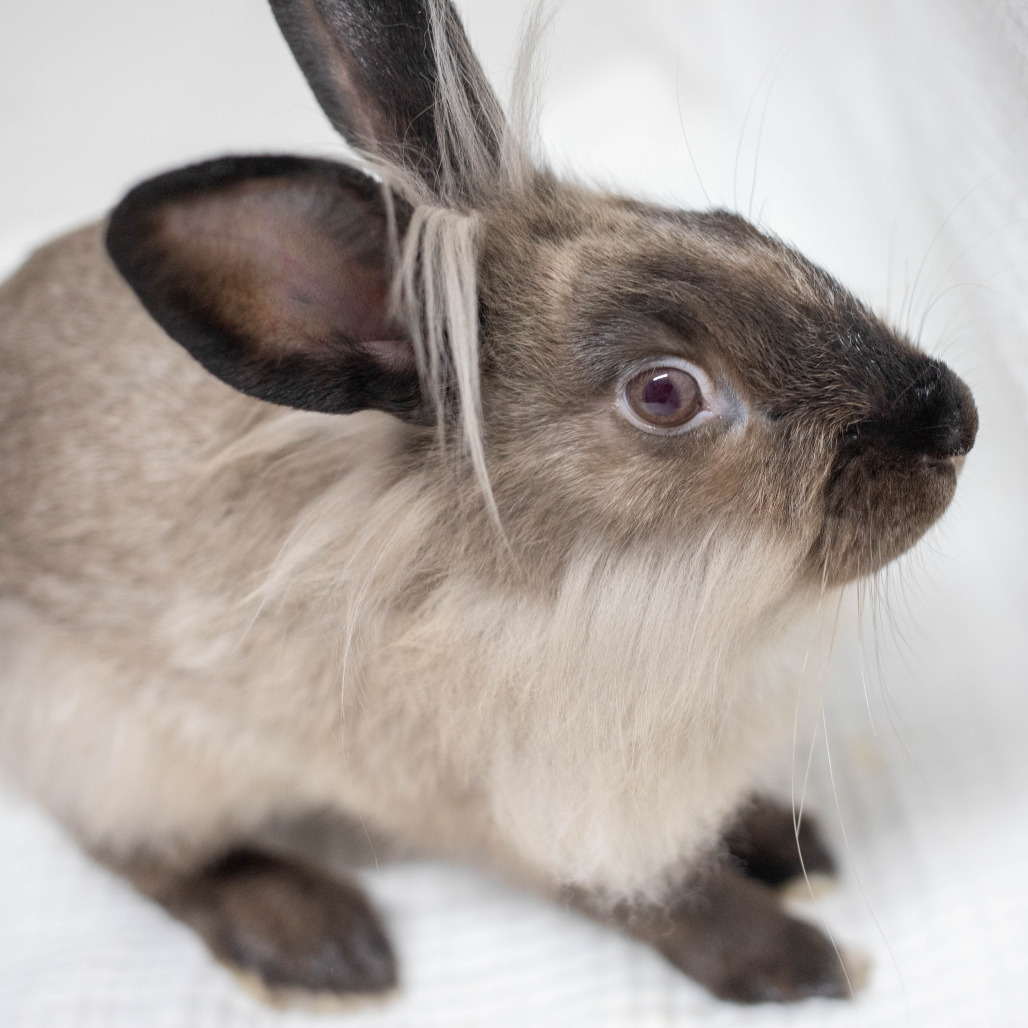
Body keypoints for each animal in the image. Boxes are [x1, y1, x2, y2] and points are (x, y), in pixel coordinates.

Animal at [0, 0, 978, 1007]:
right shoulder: (514, 814)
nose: (955, 418)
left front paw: (786, 840)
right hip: (119, 749)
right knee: (149, 857)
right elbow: (653, 898)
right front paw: (797, 960)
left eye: (729, 225)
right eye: (664, 393)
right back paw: (320, 945)